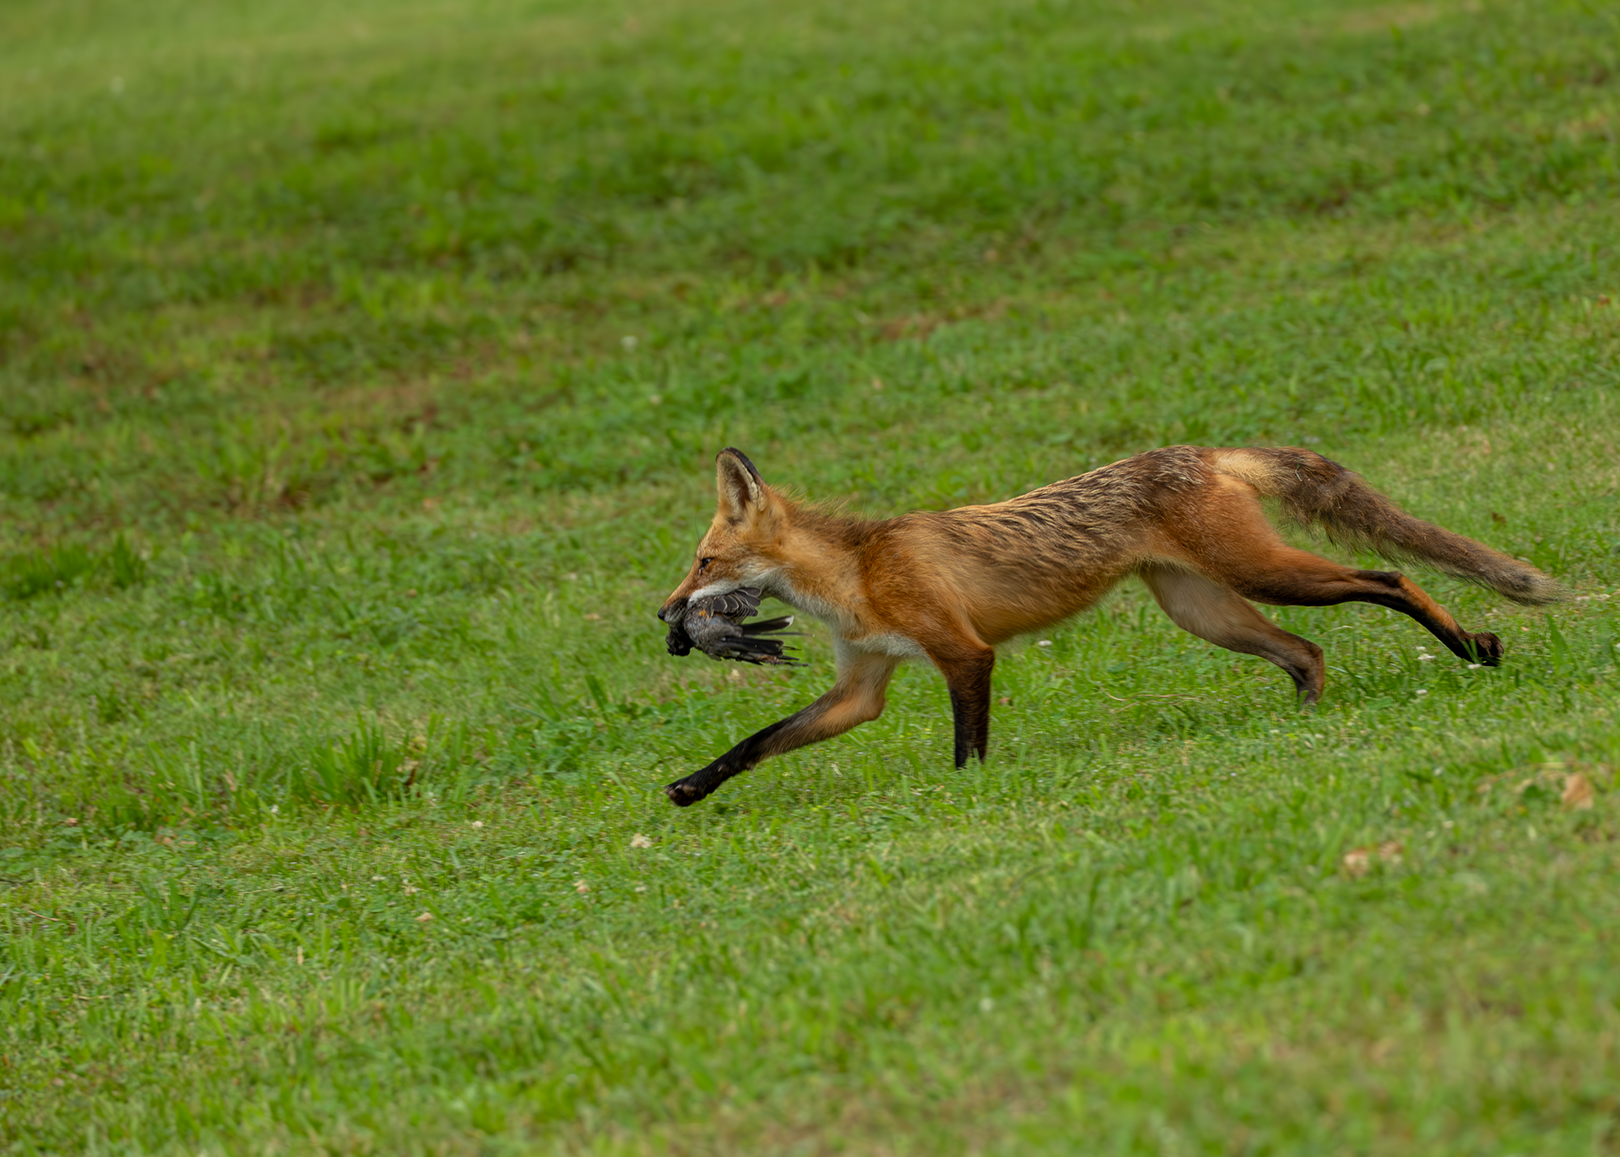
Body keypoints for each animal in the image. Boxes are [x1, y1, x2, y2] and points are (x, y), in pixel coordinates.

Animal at [656, 445, 1561, 807]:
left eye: (702, 562)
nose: (667, 615)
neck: (856, 575)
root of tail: (1205, 450)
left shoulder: (963, 653)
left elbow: (967, 750)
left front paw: (967, 800)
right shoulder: (863, 684)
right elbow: (757, 741)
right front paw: (693, 786)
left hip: (1258, 575)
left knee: (1390, 576)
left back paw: (1472, 647)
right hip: (1205, 610)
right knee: (1306, 652)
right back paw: (1307, 724)